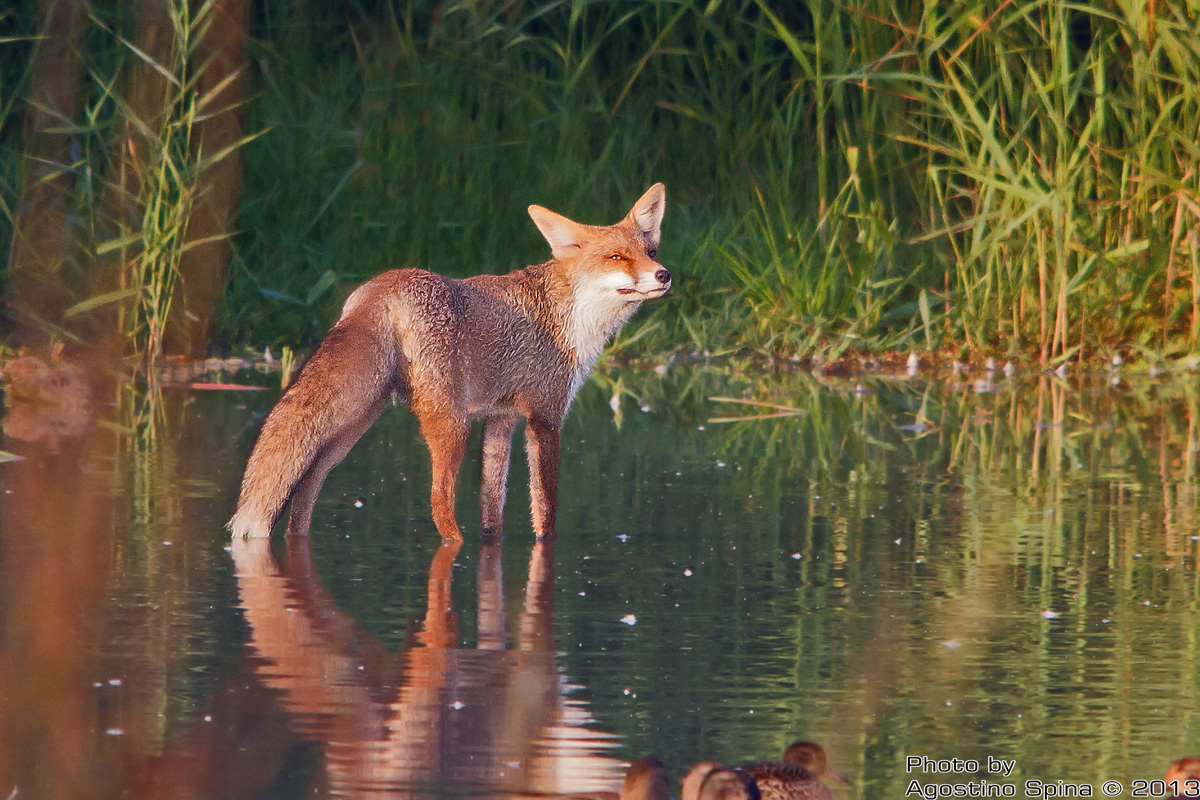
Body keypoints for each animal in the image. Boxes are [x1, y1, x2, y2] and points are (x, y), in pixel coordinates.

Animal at [228, 183, 670, 541]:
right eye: (617, 257)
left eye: (650, 252)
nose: (664, 275)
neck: (569, 317)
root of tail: (383, 287)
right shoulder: (546, 415)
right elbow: (546, 511)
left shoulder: (501, 418)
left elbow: (493, 507)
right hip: (450, 424)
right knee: (438, 501)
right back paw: (454, 545)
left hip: (350, 430)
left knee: (304, 493)